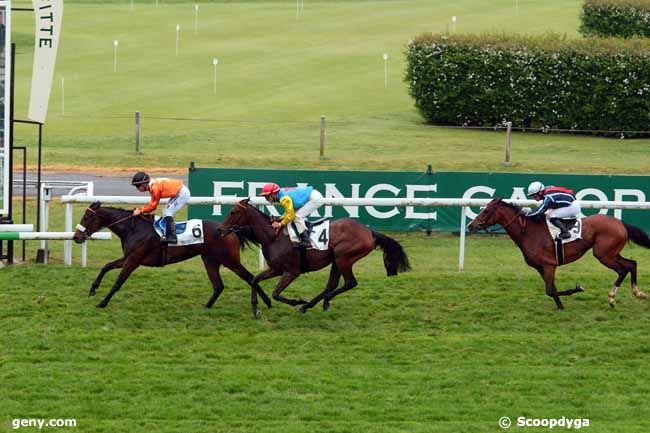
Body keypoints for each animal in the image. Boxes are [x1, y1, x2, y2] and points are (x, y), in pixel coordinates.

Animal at [71, 201, 270, 316]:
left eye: (86, 217)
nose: (76, 237)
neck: (133, 228)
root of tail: (229, 231)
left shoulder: (134, 260)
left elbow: (118, 282)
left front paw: (103, 302)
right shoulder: (128, 257)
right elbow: (106, 266)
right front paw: (93, 289)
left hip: (230, 261)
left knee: (249, 277)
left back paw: (266, 302)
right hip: (210, 260)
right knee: (218, 285)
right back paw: (206, 307)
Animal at [220, 197, 408, 312]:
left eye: (233, 212)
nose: (220, 230)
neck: (274, 237)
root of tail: (369, 231)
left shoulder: (291, 272)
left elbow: (276, 293)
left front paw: (298, 301)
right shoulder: (275, 269)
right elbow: (254, 280)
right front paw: (256, 307)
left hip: (345, 258)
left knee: (350, 282)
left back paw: (316, 302)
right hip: (336, 260)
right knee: (331, 285)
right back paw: (313, 304)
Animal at [468, 197, 648, 308]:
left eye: (486, 211)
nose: (470, 225)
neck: (528, 232)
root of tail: (621, 223)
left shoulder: (549, 265)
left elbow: (550, 290)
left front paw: (577, 288)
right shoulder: (541, 267)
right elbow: (551, 289)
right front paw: (560, 306)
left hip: (604, 254)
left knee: (623, 269)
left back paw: (613, 298)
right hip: (610, 254)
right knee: (632, 264)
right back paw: (637, 293)